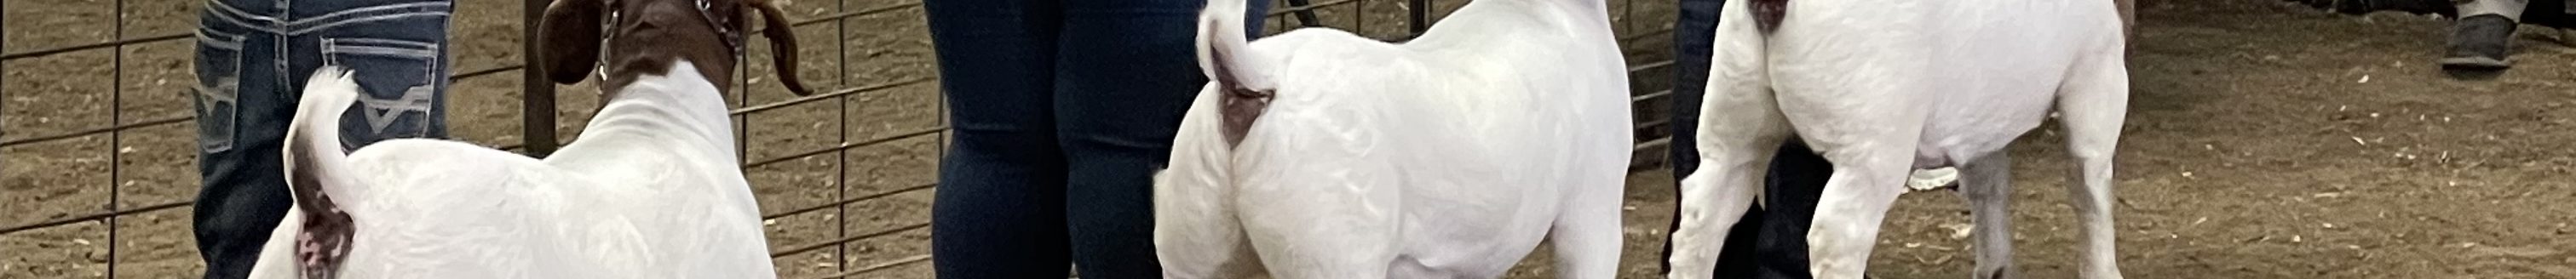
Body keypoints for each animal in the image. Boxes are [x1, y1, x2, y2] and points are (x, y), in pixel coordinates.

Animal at [1669, 0, 2132, 277]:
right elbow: (2090, 187)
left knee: (1702, 216)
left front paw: (1995, 269)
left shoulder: (1983, 120)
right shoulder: (2097, 71)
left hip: (1733, 117)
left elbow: (1988, 192)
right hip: (1874, 139)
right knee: (1838, 235)